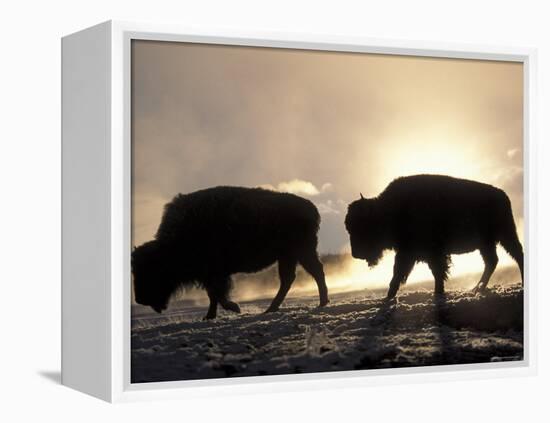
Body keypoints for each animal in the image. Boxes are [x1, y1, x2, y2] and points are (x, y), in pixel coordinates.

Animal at [132, 187, 330, 320]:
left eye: (150, 270)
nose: (140, 299)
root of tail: (311, 208)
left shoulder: (215, 273)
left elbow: (218, 294)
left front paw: (235, 308)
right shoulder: (209, 275)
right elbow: (213, 295)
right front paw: (209, 316)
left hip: (301, 252)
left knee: (314, 272)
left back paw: (321, 302)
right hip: (289, 256)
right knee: (291, 278)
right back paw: (273, 308)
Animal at [344, 175, 528, 298]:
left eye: (363, 227)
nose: (355, 254)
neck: (388, 210)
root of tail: (503, 195)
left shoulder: (426, 253)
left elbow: (433, 272)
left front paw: (437, 292)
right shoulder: (410, 253)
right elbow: (400, 273)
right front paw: (389, 296)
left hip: (505, 235)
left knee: (516, 255)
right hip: (487, 243)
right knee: (493, 261)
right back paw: (478, 288)